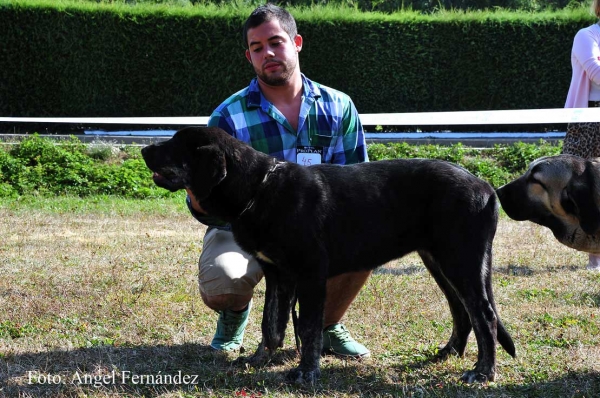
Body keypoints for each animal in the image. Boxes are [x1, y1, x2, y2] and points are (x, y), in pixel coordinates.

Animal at [142, 126, 516, 384]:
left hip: (462, 260)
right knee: (462, 311)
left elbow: (307, 327)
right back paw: (448, 354)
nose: (145, 148)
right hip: (439, 262)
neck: (260, 188)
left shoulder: (309, 274)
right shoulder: (279, 274)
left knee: (485, 315)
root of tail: (486, 187)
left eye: (175, 145)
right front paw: (260, 360)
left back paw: (483, 372)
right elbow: (271, 324)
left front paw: (305, 373)